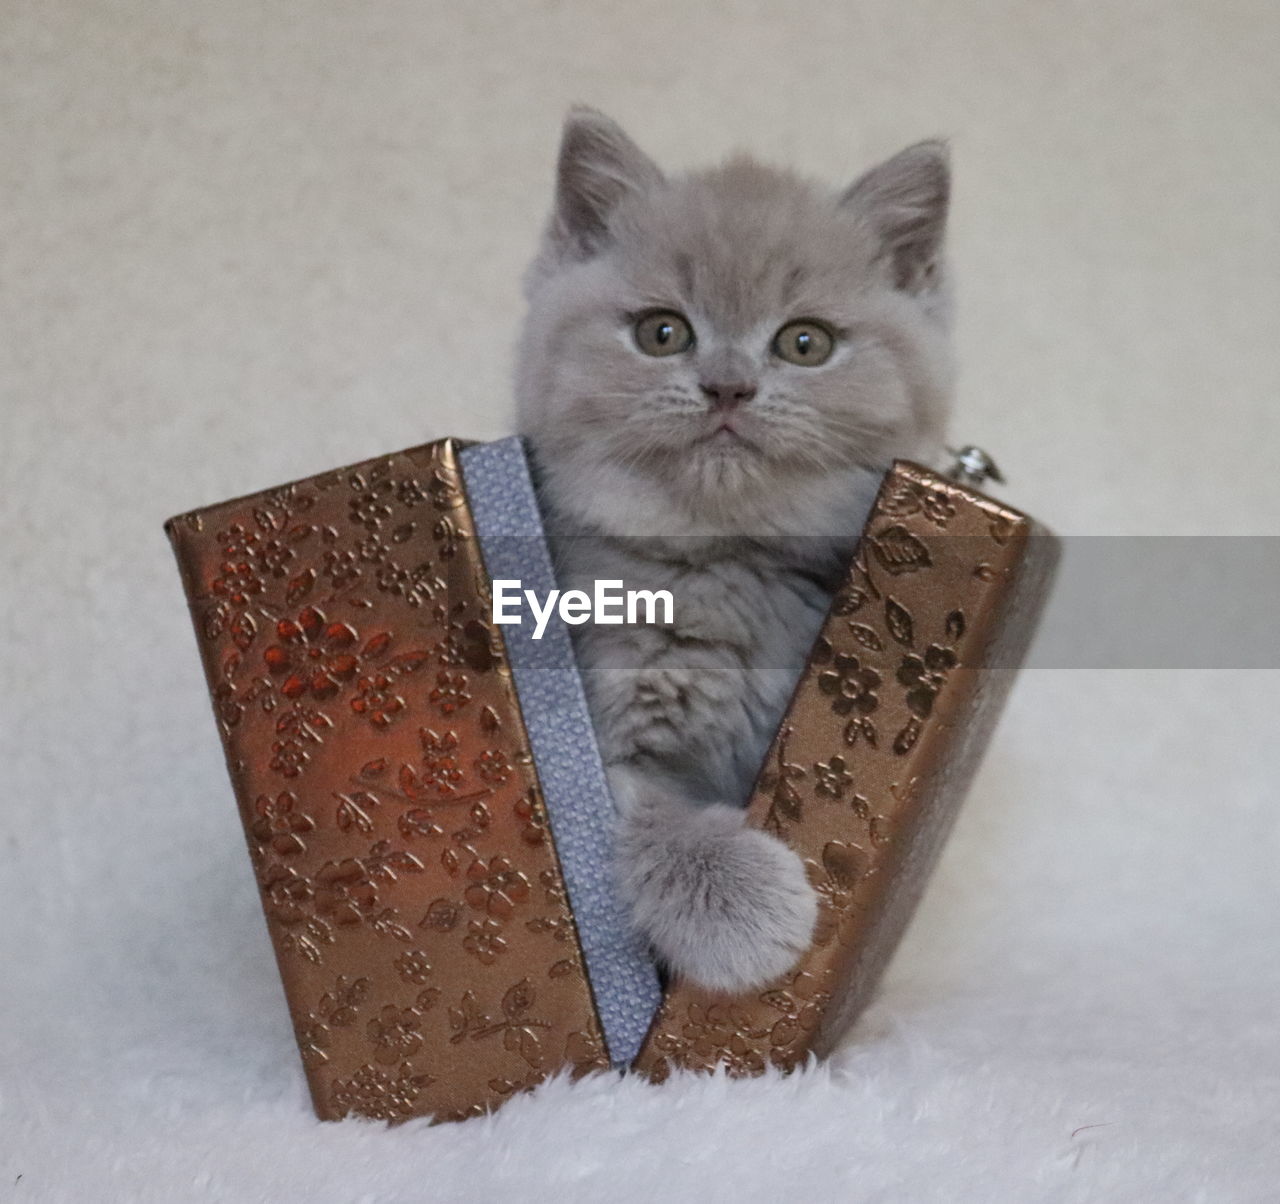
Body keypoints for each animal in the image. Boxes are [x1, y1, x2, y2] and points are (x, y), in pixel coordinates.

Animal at [512, 108, 952, 992]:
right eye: (663, 332)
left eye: (806, 343)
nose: (727, 386)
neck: (724, 563)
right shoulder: (603, 729)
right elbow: (653, 817)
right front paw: (747, 917)